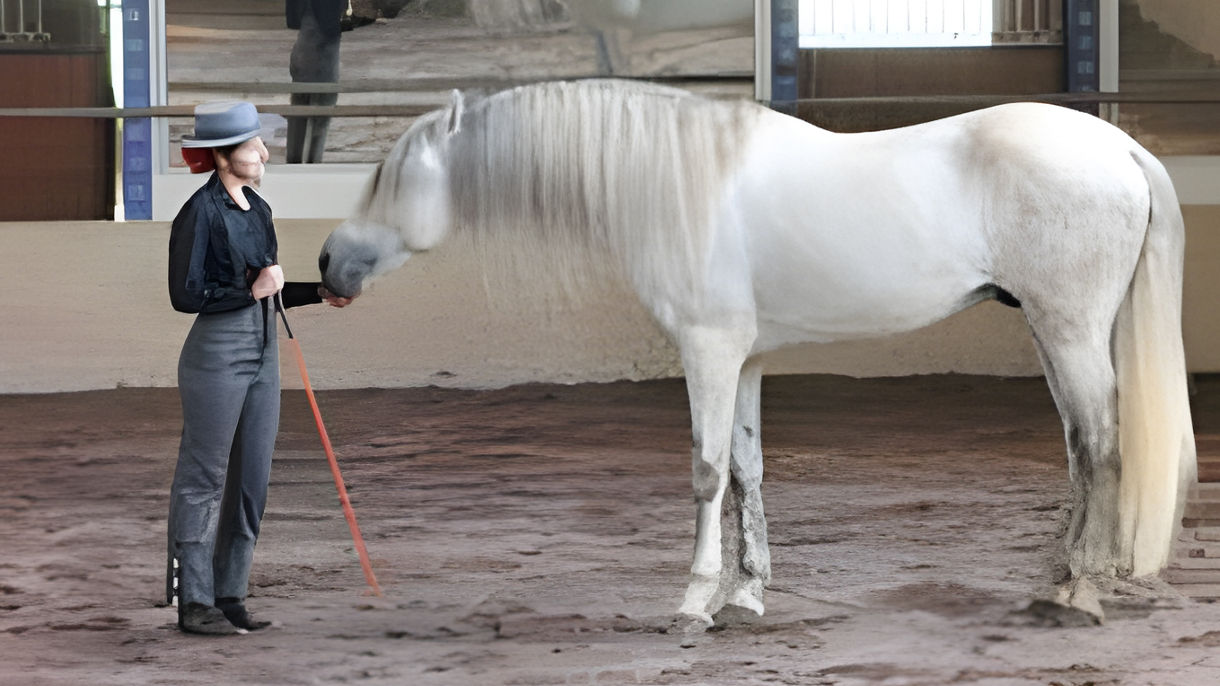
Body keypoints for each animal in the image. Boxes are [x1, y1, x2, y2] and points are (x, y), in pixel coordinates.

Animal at [318, 78, 1197, 627]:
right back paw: (1057, 574)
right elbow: (747, 468)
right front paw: (747, 596)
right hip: (1054, 332)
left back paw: (1080, 590)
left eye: (393, 177)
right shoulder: (744, 359)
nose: (328, 263)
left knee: (1104, 444)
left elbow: (707, 470)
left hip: (1070, 327)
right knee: (1081, 447)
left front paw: (693, 601)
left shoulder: (707, 350)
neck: (679, 184)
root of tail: (1118, 149)